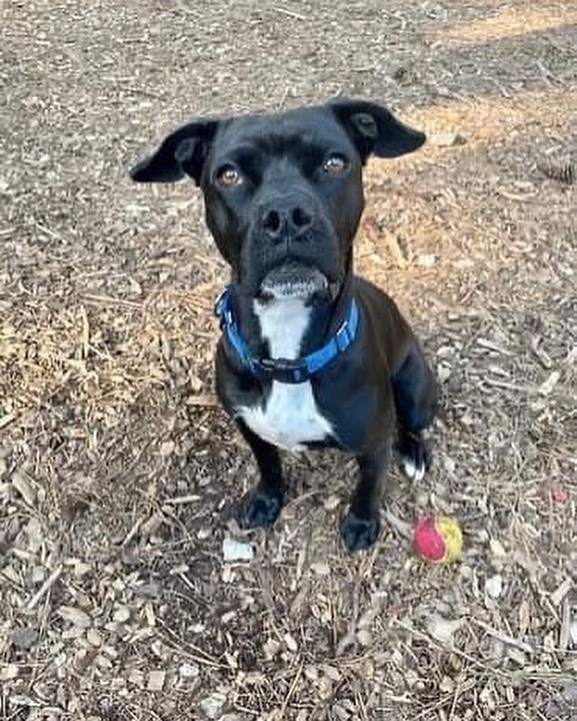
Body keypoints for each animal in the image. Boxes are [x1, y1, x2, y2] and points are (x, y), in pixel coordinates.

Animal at [130, 100, 436, 552]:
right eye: (229, 175)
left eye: (334, 163)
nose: (286, 214)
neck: (289, 357)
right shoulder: (249, 426)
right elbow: (268, 465)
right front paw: (267, 499)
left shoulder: (374, 443)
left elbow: (369, 486)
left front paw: (362, 522)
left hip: (416, 391)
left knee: (411, 422)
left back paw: (414, 452)